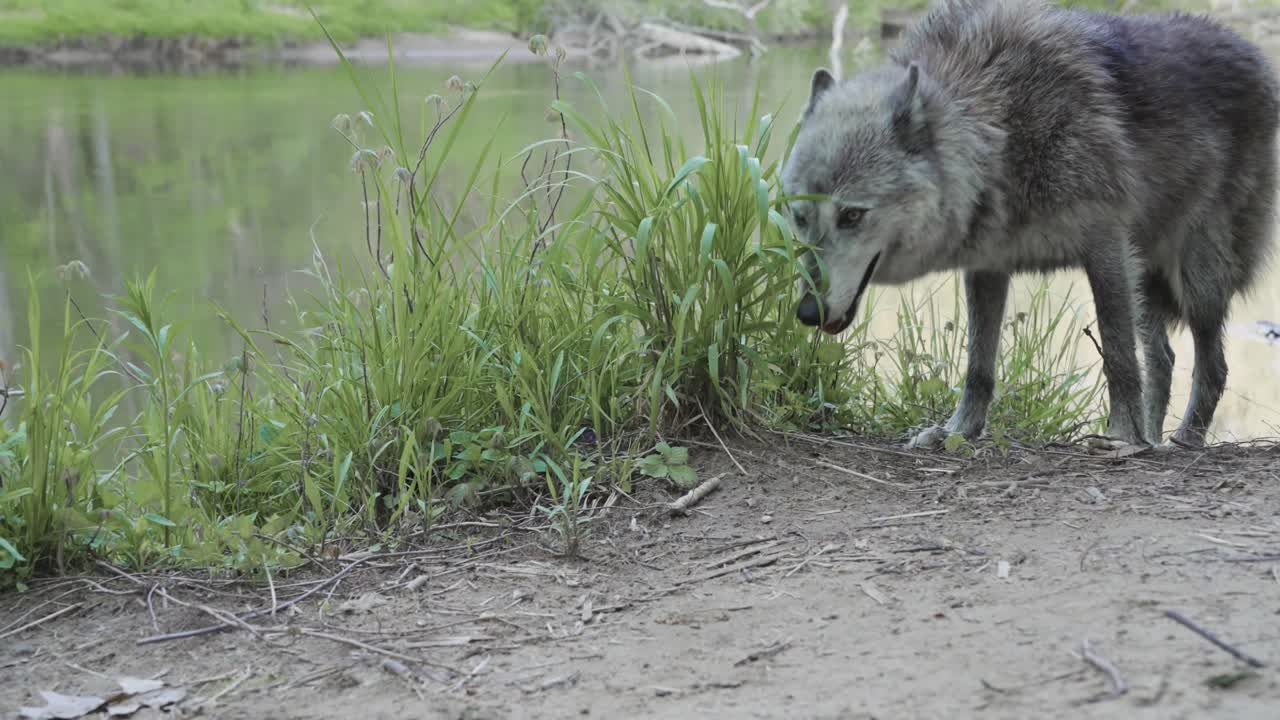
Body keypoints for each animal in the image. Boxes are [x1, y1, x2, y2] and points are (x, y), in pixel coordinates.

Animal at [781, 0, 1279, 450]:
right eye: (799, 216)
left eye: (851, 215)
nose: (806, 313)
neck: (1001, 128)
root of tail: (1255, 56)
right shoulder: (987, 267)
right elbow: (978, 365)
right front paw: (959, 432)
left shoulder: (1104, 246)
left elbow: (1118, 357)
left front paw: (1121, 438)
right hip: (1147, 282)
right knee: (1164, 358)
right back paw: (1153, 440)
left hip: (1196, 279)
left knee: (1211, 366)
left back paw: (1182, 441)